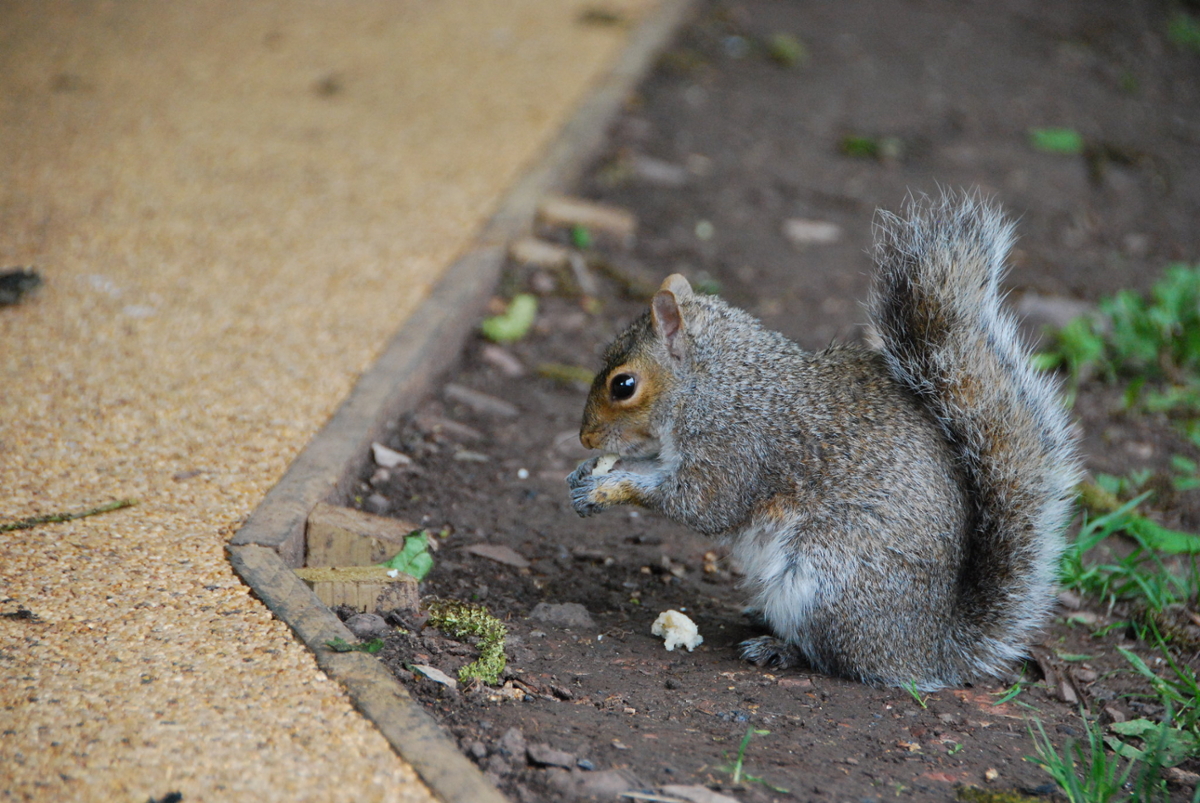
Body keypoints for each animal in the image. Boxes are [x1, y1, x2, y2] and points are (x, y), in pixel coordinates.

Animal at [566, 194, 1084, 691]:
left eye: (624, 385)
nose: (585, 437)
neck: (712, 383)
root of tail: (931, 647)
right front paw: (585, 477)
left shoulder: (733, 446)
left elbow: (700, 505)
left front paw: (609, 487)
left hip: (827, 580)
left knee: (837, 659)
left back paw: (780, 649)